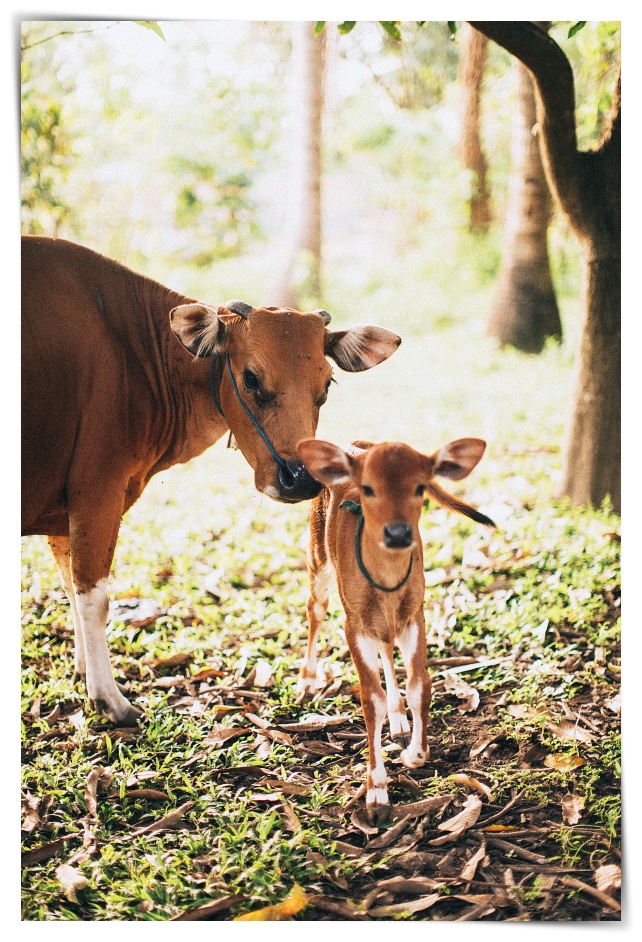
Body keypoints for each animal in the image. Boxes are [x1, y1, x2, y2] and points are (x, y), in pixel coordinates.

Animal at [21, 240, 400, 728]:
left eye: (328, 382)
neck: (137, 354)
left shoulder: (63, 510)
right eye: (251, 378)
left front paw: (85, 671)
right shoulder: (97, 491)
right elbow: (93, 596)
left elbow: (69, 587)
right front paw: (109, 698)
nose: (299, 479)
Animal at [296, 438, 490, 824]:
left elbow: (420, 686)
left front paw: (414, 753)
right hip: (317, 556)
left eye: (420, 487)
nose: (398, 533)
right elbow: (371, 701)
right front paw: (376, 793)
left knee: (387, 647)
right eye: (368, 488)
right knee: (315, 607)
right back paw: (308, 680)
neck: (385, 583)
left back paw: (400, 721)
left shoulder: (415, 613)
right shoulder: (353, 623)